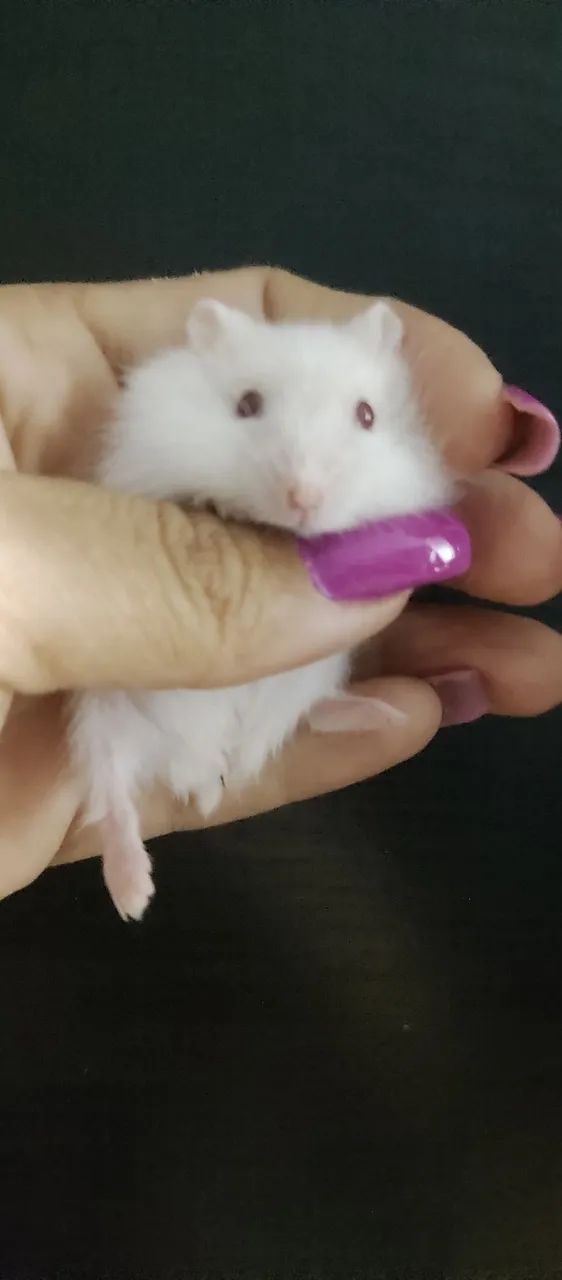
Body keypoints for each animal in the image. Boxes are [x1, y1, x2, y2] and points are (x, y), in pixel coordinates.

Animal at [69, 298, 453, 921]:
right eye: (247, 405)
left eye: (367, 415)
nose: (304, 499)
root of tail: (204, 766)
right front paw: (218, 506)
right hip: (105, 711)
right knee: (113, 793)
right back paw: (134, 894)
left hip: (308, 681)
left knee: (310, 711)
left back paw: (386, 715)